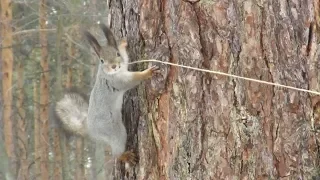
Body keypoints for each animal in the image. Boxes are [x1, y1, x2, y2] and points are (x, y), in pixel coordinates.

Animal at [56, 24, 160, 165]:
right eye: (101, 60)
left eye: (117, 53)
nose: (114, 66)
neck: (110, 73)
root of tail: (88, 126)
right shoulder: (118, 81)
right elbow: (133, 79)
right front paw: (147, 72)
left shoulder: (123, 65)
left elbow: (125, 58)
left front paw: (123, 43)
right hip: (114, 131)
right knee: (116, 152)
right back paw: (125, 156)